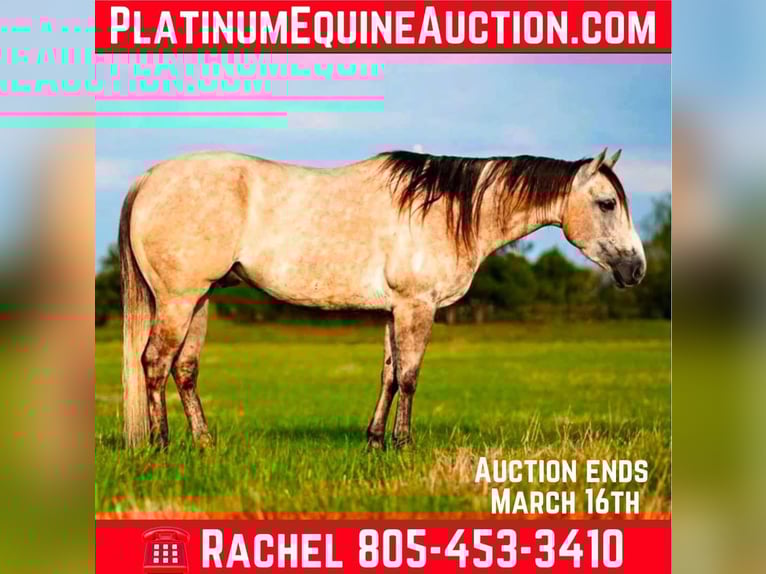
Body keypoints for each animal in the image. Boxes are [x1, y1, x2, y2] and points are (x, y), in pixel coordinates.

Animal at [119, 147, 646, 450]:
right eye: (607, 203)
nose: (636, 268)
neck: (446, 210)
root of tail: (149, 177)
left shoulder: (395, 310)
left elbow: (389, 375)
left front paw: (374, 443)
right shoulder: (418, 306)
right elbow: (410, 377)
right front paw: (404, 445)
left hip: (199, 300)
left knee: (184, 370)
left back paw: (205, 444)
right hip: (178, 300)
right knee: (155, 364)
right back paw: (161, 447)